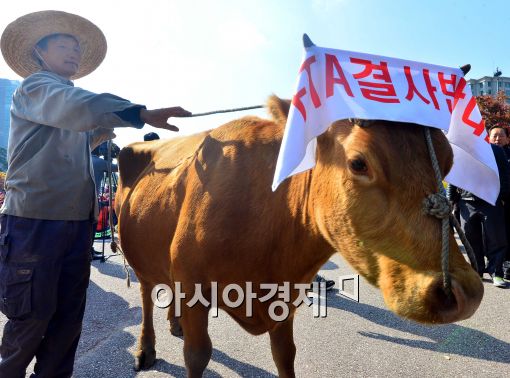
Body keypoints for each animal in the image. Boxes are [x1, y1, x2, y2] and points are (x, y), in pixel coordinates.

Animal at [115, 95, 482, 378]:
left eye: (449, 162)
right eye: (358, 163)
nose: (463, 293)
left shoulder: (286, 296)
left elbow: (285, 355)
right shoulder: (194, 286)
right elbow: (197, 355)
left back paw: (175, 322)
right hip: (137, 254)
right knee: (146, 294)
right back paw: (146, 349)